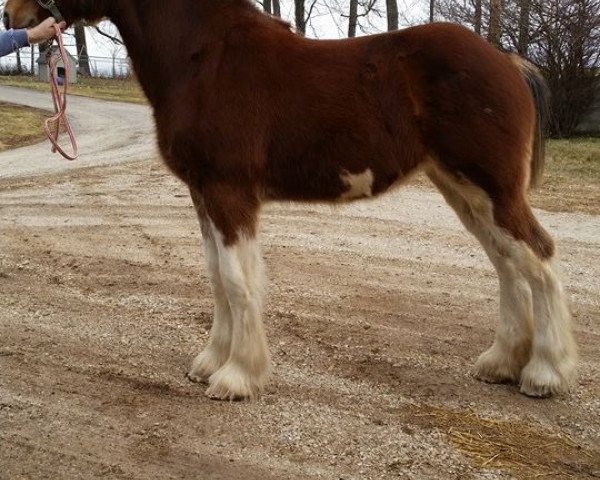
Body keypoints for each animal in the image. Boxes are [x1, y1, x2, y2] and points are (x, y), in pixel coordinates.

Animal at [3, 0, 576, 400]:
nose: (13, 14)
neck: (204, 58)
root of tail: (508, 62)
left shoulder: (228, 192)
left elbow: (237, 281)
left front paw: (236, 377)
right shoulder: (202, 193)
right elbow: (217, 277)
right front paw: (211, 362)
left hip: (490, 188)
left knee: (540, 257)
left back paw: (545, 373)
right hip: (464, 190)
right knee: (509, 264)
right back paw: (501, 364)